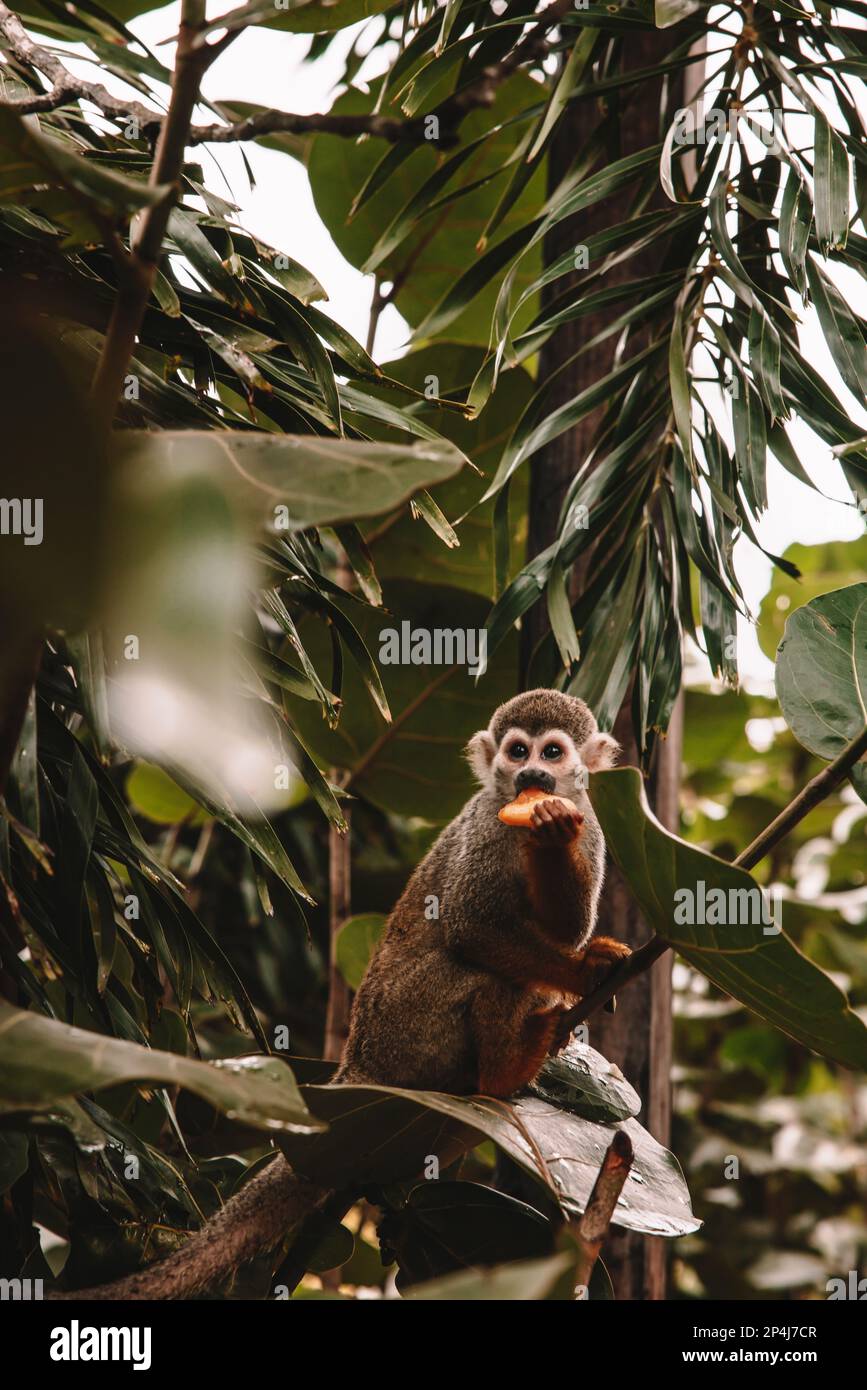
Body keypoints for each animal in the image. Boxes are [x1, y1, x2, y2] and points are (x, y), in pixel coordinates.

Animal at [336, 688, 631, 1099]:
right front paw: (586, 972)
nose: (531, 774)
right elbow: (471, 927)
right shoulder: (487, 820)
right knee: (491, 970)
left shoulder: (589, 821)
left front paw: (553, 837)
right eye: (519, 751)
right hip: (402, 1025)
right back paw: (504, 1071)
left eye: (552, 753)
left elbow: (567, 931)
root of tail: (358, 1061)